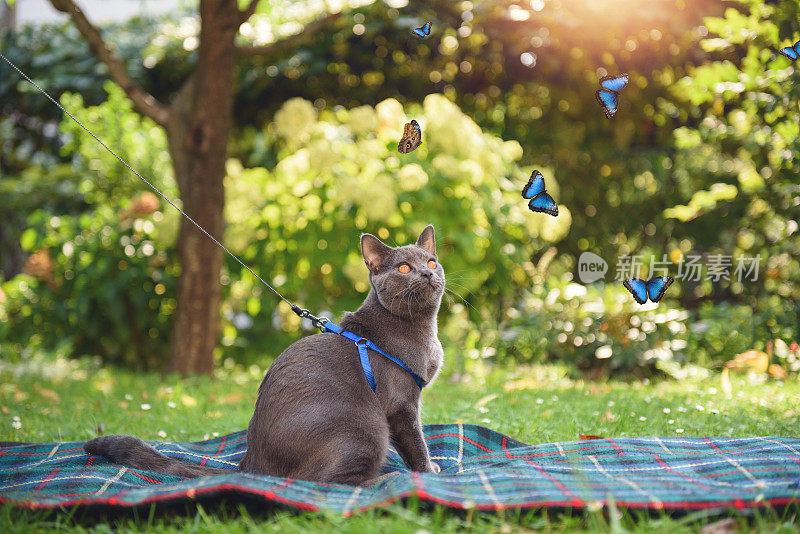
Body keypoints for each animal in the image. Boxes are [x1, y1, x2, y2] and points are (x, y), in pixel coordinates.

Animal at [85, 226, 446, 490]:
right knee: (325, 481)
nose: (427, 274)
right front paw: (427, 472)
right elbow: (416, 442)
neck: (424, 330)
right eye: (404, 268)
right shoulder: (402, 404)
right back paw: (388, 478)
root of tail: (252, 468)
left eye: (431, 261)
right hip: (366, 429)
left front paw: (428, 469)